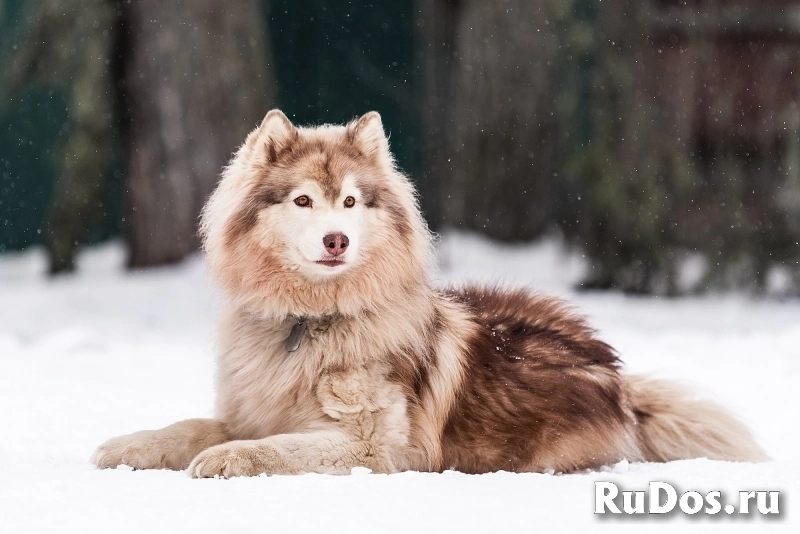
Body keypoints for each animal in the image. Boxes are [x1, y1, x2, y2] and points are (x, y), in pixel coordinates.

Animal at [89, 109, 768, 478]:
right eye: (303, 201)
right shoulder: (247, 409)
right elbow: (188, 426)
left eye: (351, 202)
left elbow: (275, 446)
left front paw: (228, 460)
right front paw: (127, 446)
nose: (336, 240)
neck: (310, 322)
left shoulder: (373, 446)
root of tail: (622, 382)